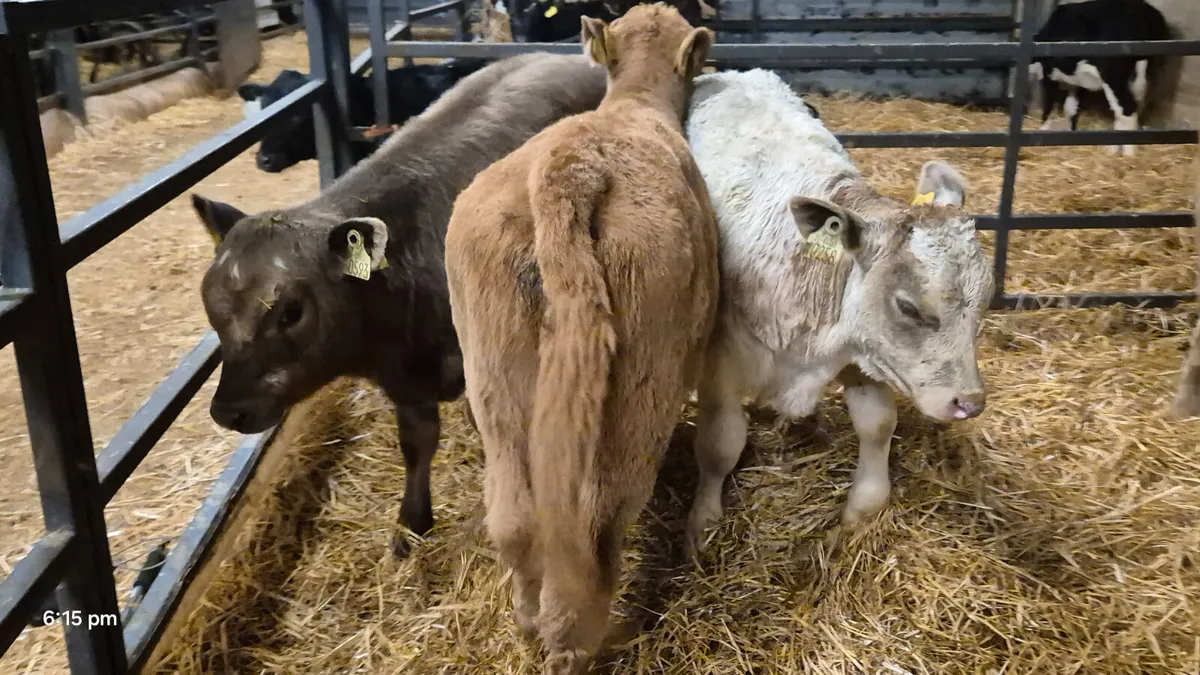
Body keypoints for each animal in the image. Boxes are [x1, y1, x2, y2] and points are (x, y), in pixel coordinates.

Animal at [444, 6, 717, 673]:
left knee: (515, 517)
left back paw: (529, 622)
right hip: (640, 390)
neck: (633, 103)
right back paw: (589, 638)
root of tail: (572, 167)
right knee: (601, 523)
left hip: (494, 378)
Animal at [683, 68, 994, 556]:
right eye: (907, 306)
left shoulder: (864, 353)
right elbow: (719, 444)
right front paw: (702, 527)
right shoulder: (722, 364)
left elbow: (878, 425)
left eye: (986, 299)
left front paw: (859, 515)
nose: (969, 403)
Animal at [1028, 0, 1170, 157]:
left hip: (1113, 73)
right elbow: (1070, 107)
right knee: (1134, 104)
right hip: (1142, 70)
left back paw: (1127, 153)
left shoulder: (1048, 74)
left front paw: (1043, 131)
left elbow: (1049, 103)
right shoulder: (1075, 81)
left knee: (1125, 107)